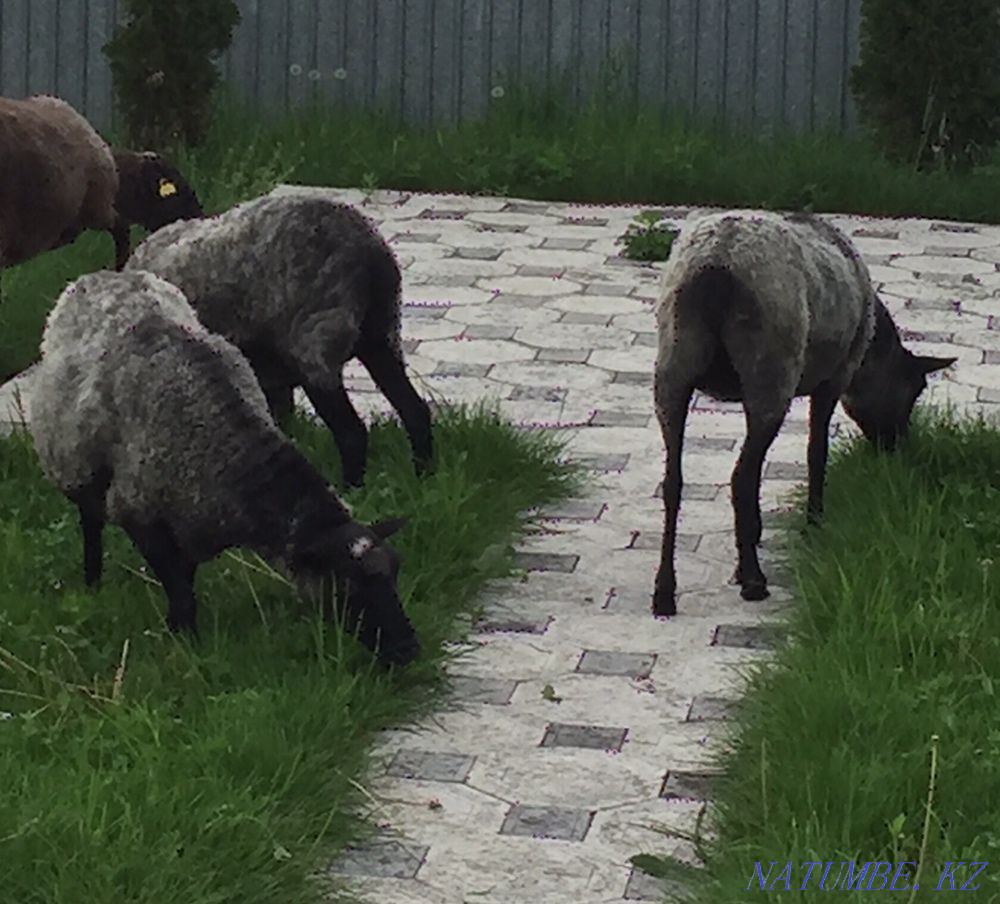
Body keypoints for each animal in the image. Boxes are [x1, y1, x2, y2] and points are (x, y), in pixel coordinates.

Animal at [29, 268, 421, 667]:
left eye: (396, 570)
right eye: (345, 587)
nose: (409, 650)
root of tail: (99, 275)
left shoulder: (191, 520)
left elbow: (183, 580)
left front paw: (177, 629)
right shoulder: (138, 513)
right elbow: (179, 590)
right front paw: (183, 642)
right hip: (75, 463)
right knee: (90, 520)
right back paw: (92, 580)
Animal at [124, 192, 433, 488]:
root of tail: (369, 251)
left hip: (317, 344)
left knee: (352, 432)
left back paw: (352, 490)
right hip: (381, 338)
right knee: (415, 410)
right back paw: (421, 479)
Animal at [652, 209, 955, 617]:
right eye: (914, 390)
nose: (895, 445)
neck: (872, 352)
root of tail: (716, 265)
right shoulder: (835, 377)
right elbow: (817, 452)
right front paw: (814, 522)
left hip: (674, 361)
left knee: (673, 482)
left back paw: (665, 592)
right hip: (770, 368)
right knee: (741, 477)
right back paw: (753, 581)